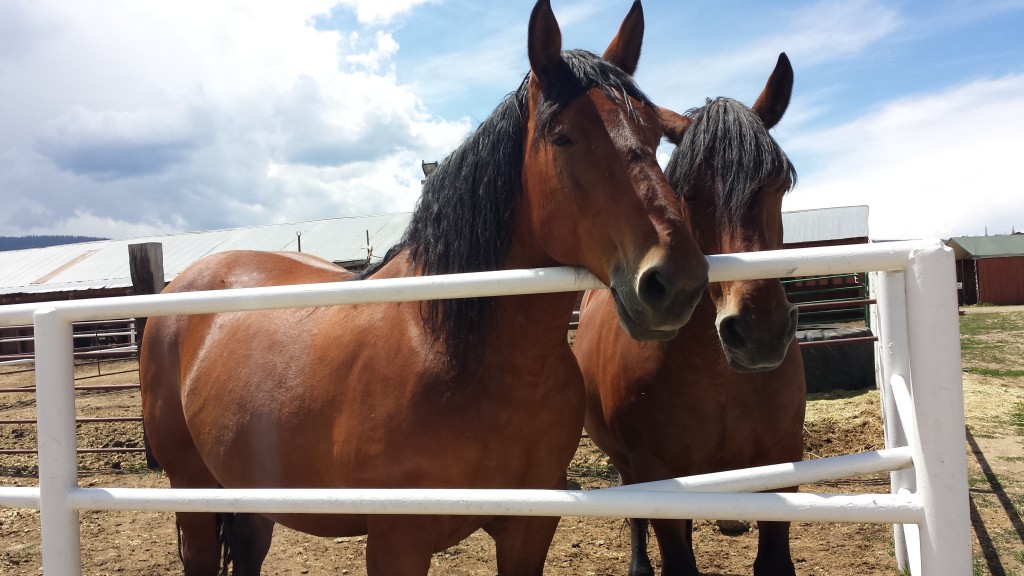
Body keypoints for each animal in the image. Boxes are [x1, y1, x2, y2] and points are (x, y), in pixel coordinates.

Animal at [140, 2, 708, 569]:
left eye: (655, 137)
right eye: (563, 136)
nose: (675, 281)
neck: (458, 356)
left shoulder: (529, 531)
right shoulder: (398, 541)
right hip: (193, 490)